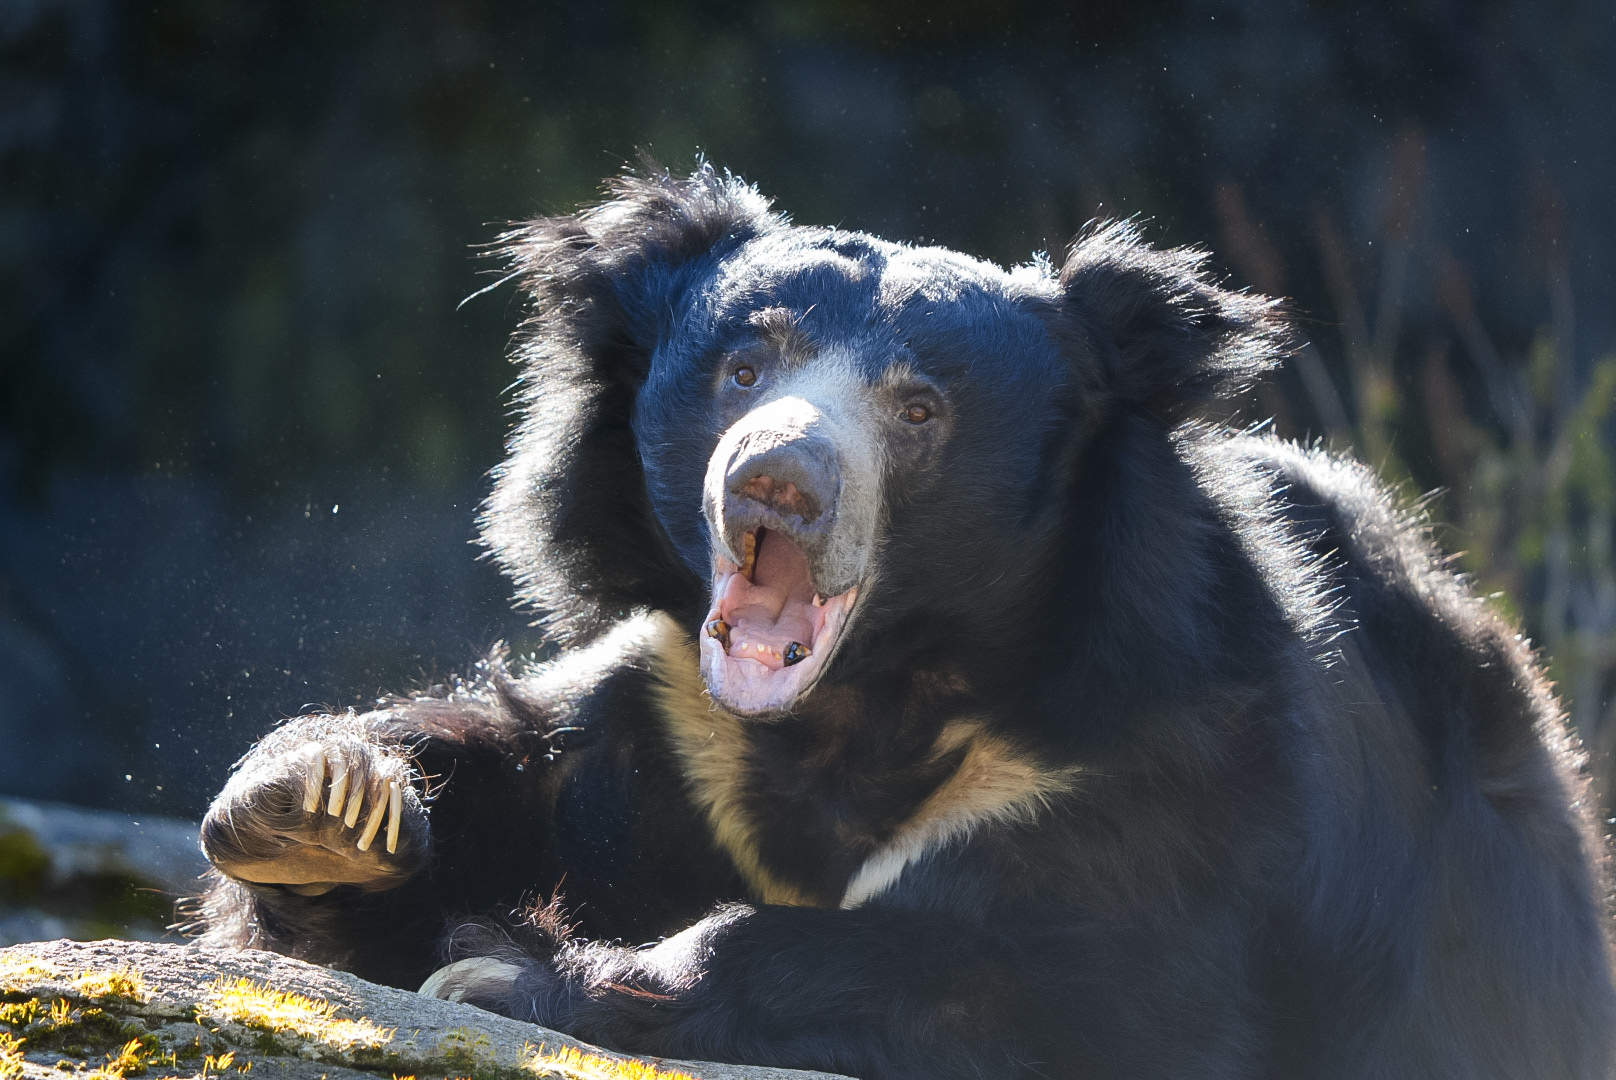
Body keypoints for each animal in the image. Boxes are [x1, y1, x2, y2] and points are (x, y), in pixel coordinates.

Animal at [196, 163, 1616, 1079]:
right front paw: (320, 803)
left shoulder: (1155, 777)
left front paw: (519, 973)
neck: (858, 699)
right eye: (744, 367)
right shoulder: (676, 719)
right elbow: (518, 760)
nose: (775, 482)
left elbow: (1085, 999)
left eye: (918, 408)